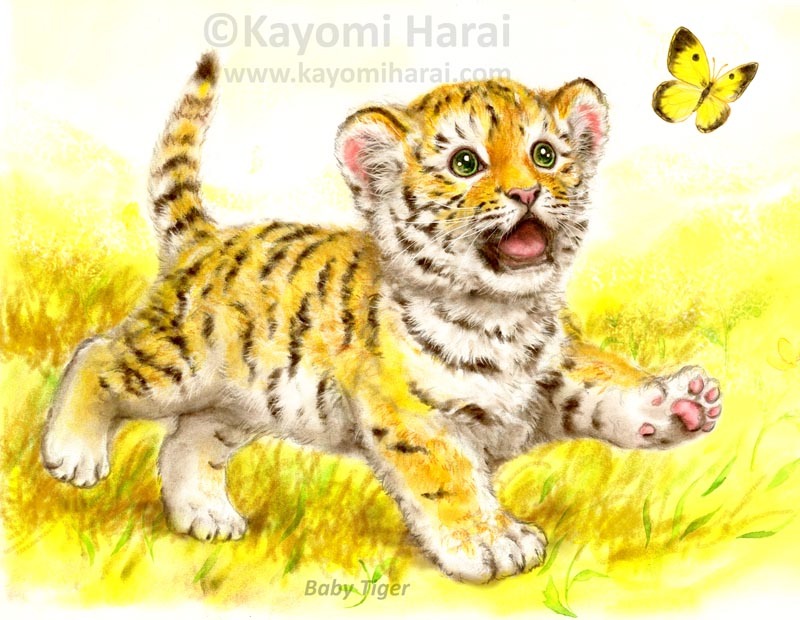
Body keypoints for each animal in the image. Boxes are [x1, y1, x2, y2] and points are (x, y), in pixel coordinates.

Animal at [41, 52, 723, 583]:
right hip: (177, 360)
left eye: (545, 154)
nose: (528, 192)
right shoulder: (412, 413)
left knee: (189, 442)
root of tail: (208, 239)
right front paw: (495, 542)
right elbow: (451, 479)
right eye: (467, 163)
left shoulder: (552, 374)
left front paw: (684, 404)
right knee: (98, 355)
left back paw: (206, 516)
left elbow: (608, 385)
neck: (503, 314)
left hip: (243, 402)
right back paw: (72, 453)